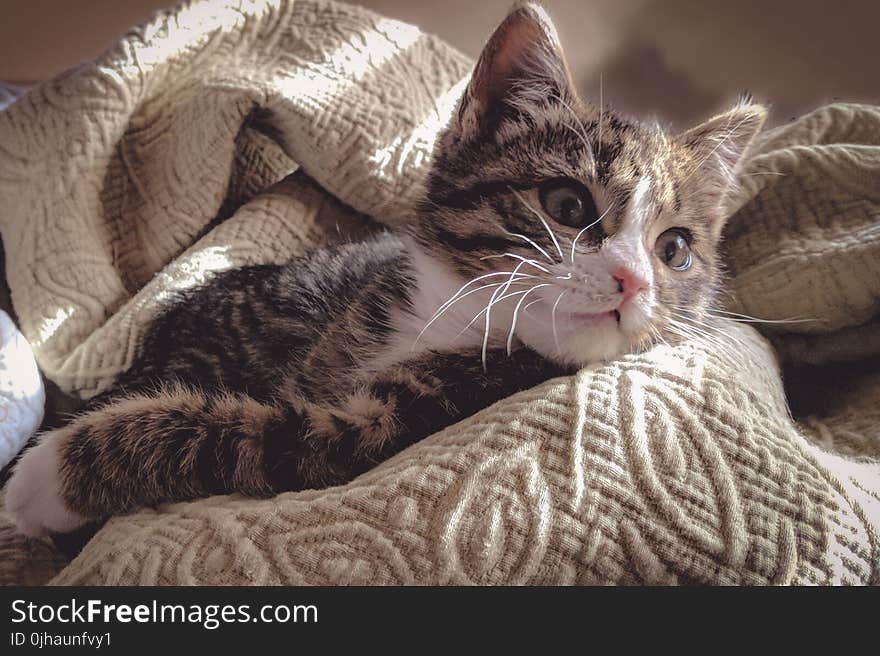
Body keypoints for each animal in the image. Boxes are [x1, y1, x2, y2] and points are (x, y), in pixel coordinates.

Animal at [5, 2, 764, 536]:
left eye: (674, 249)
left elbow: (253, 436)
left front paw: (50, 475)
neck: (456, 316)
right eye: (568, 204)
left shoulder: (390, 426)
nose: (635, 281)